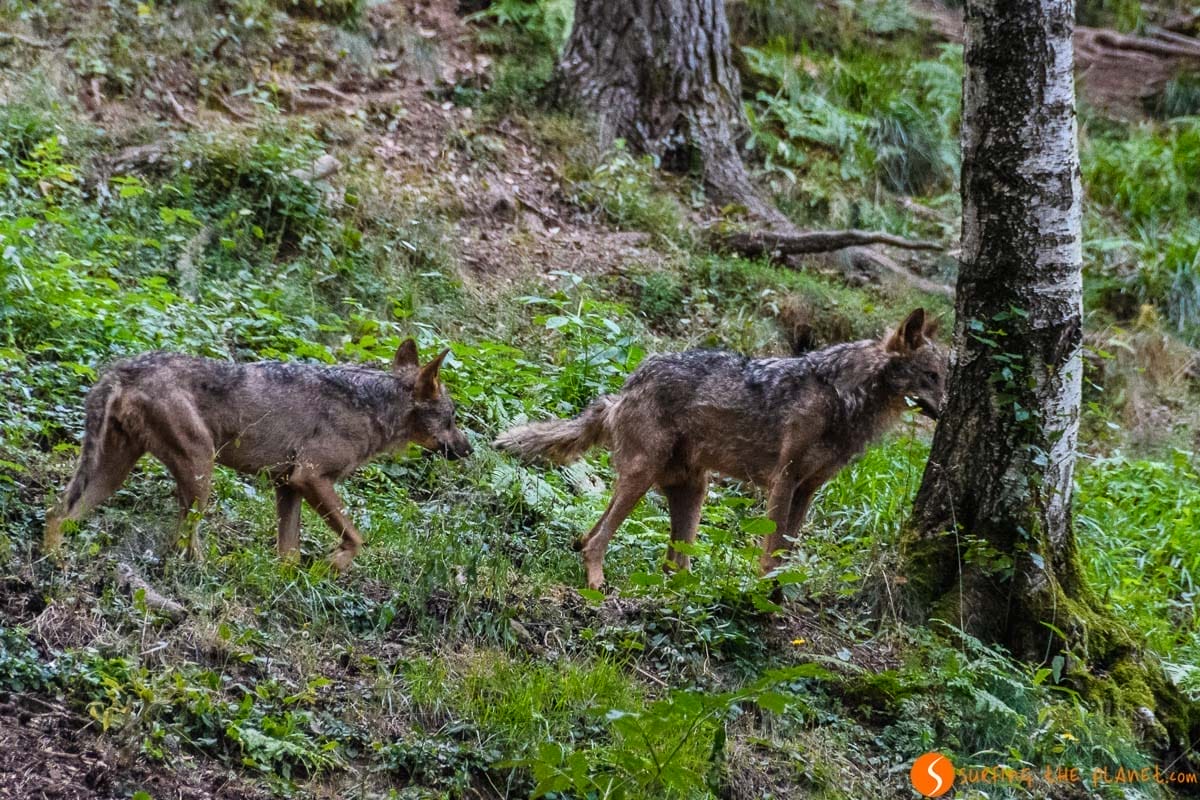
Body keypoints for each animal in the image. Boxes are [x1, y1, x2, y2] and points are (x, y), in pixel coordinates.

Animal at [43, 339, 472, 571]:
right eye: (452, 419)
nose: (469, 449)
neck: (370, 407)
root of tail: (123, 368)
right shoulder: (311, 477)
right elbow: (356, 538)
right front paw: (331, 566)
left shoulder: (289, 487)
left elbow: (289, 555)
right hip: (201, 470)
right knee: (182, 541)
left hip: (115, 473)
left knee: (58, 513)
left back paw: (56, 561)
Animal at [494, 308, 945, 590]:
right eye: (932, 375)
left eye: (945, 375)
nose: (947, 410)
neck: (844, 397)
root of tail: (624, 387)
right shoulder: (784, 481)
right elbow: (771, 551)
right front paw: (765, 595)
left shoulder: (808, 490)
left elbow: (788, 549)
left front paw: (781, 596)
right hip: (643, 478)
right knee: (596, 540)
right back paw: (598, 585)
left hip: (693, 492)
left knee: (662, 560)